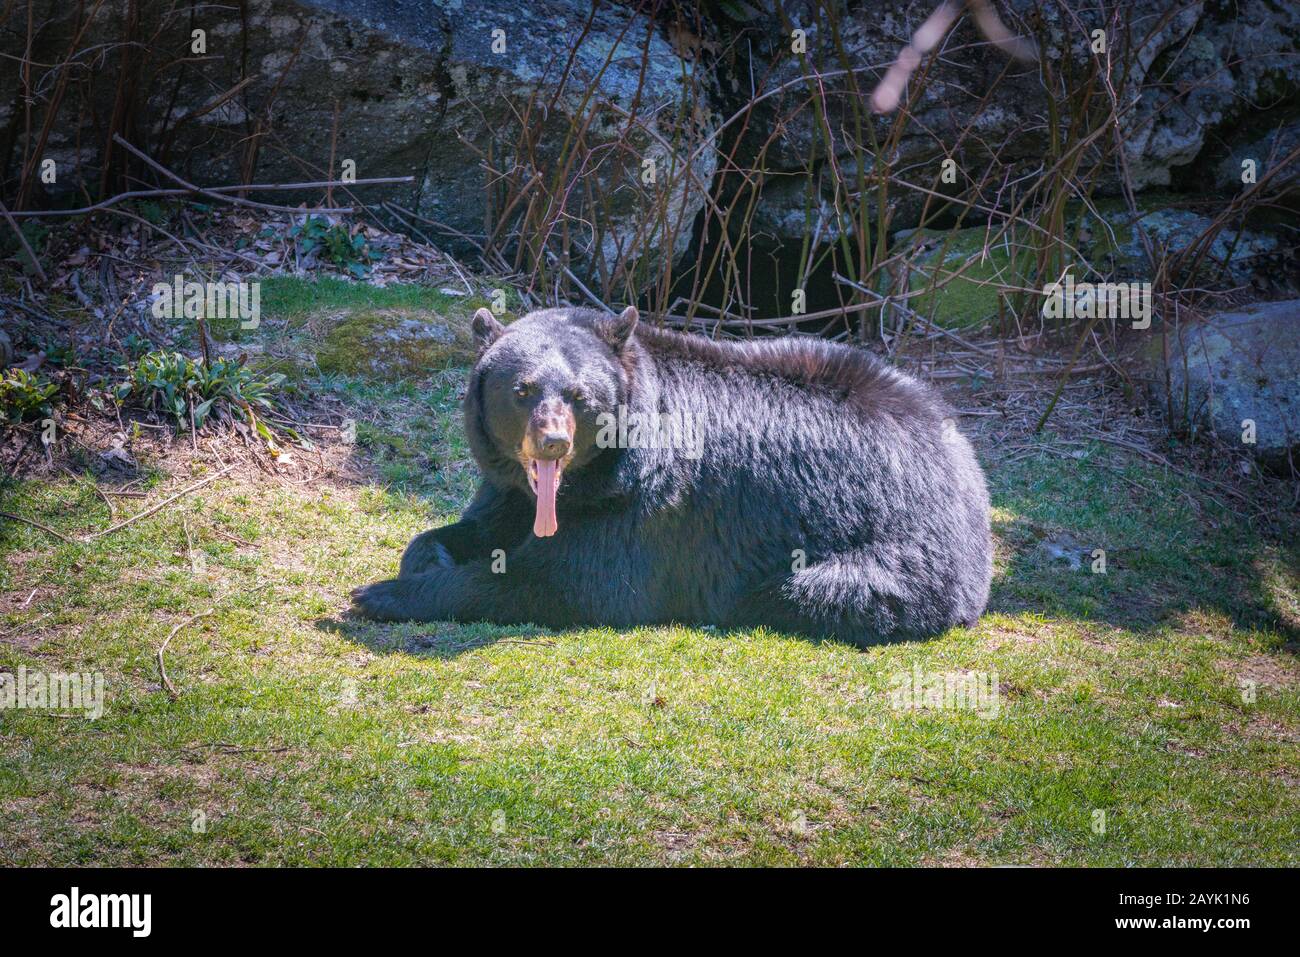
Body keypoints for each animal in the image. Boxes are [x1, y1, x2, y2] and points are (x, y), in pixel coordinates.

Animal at [351, 306, 987, 647]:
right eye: (522, 390)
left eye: (580, 396)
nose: (553, 440)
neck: (589, 480)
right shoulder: (510, 489)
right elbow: (479, 525)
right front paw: (425, 560)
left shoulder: (647, 505)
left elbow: (574, 583)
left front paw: (381, 593)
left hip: (895, 553)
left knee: (819, 591)